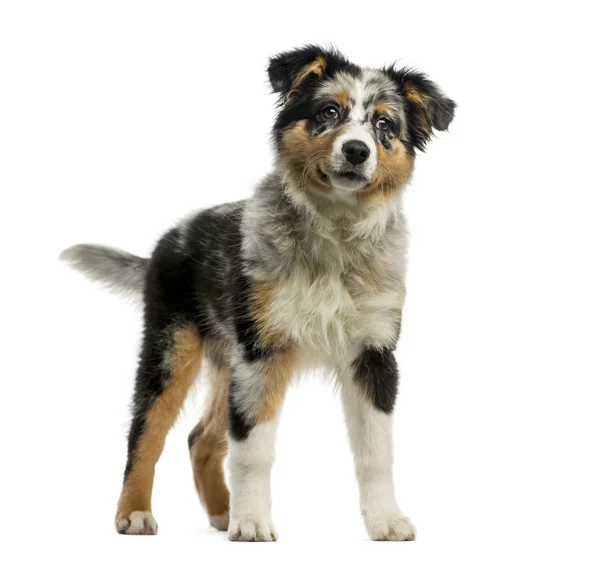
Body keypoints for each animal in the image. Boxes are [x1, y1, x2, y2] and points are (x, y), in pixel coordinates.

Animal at [59, 45, 454, 540]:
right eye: (329, 112)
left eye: (385, 124)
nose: (357, 150)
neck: (335, 235)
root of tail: (165, 243)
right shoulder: (264, 351)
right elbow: (253, 448)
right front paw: (251, 523)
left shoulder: (373, 354)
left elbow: (376, 451)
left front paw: (387, 520)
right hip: (172, 347)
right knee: (145, 431)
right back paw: (134, 513)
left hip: (228, 361)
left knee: (201, 438)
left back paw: (221, 513)